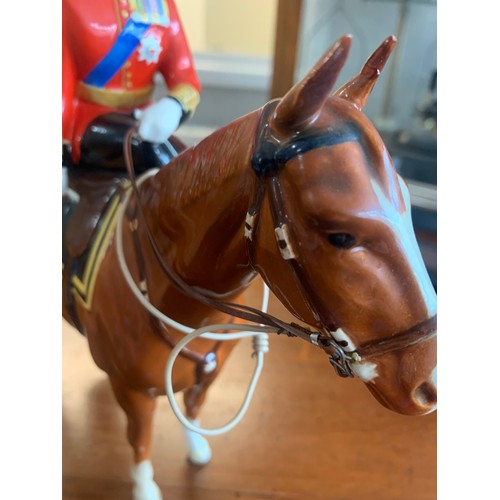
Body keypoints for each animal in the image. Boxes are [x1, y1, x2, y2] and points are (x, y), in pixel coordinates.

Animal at [62, 37, 436, 500]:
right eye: (340, 235)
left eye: (407, 202)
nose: (428, 384)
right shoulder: (135, 392)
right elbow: (141, 437)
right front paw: (146, 486)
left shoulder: (208, 372)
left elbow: (193, 407)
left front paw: (196, 447)